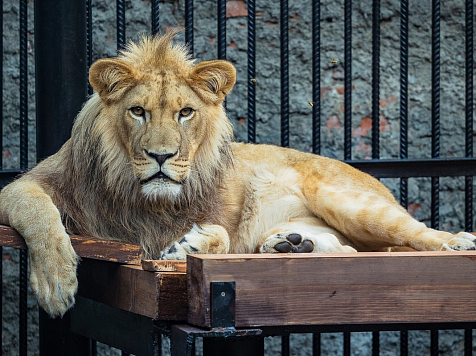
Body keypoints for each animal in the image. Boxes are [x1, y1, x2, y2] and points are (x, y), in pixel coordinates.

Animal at [0, 32, 476, 318]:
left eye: (185, 112)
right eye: (138, 111)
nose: (161, 156)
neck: (141, 194)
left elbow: (222, 237)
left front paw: (191, 244)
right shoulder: (24, 185)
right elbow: (39, 212)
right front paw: (56, 279)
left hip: (349, 201)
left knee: (410, 234)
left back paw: (458, 240)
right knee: (350, 250)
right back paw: (291, 245)